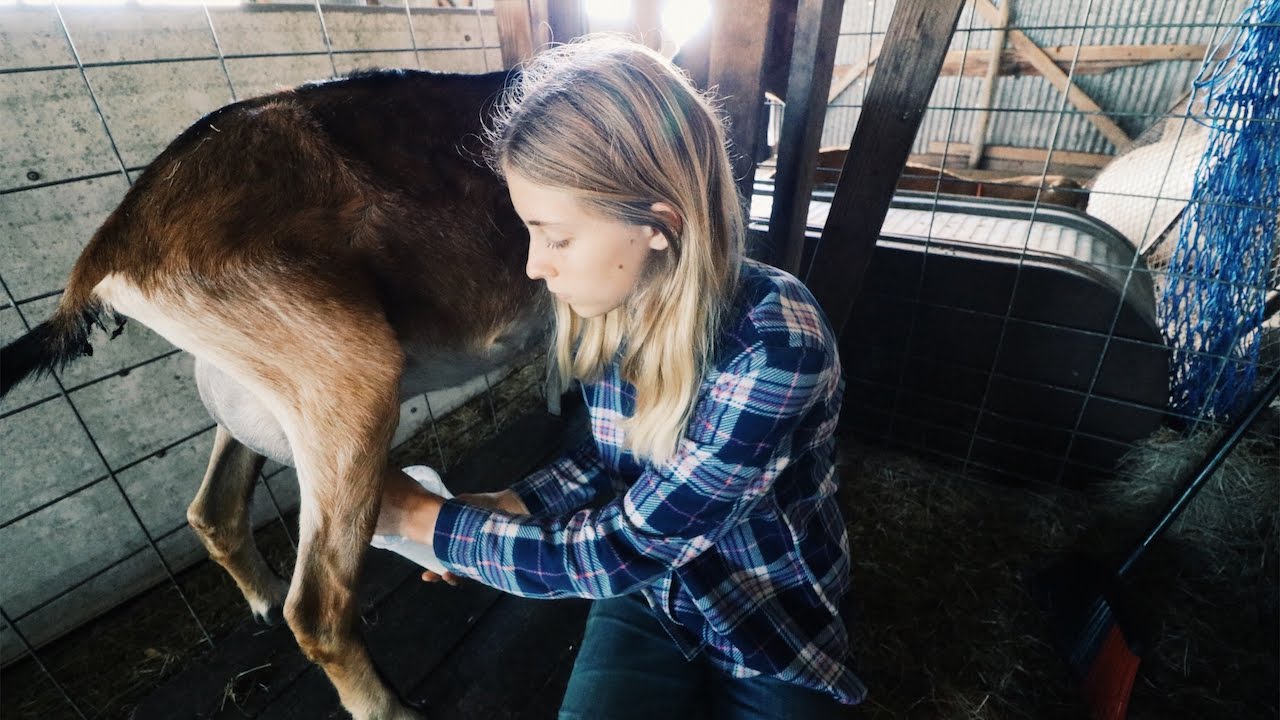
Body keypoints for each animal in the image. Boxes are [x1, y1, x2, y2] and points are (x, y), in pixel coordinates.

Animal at [0, 68, 545, 717]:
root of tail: (110, 247)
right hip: (350, 376)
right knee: (315, 609)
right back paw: (387, 705)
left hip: (265, 393)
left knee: (213, 509)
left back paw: (261, 599)